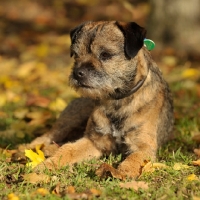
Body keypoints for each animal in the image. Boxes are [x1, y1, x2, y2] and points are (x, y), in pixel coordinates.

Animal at [31, 20, 173, 178]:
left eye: (105, 55)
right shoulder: (94, 141)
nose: (77, 73)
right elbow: (68, 150)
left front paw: (122, 172)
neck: (117, 101)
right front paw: (48, 164)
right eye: (76, 54)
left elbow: (134, 159)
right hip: (70, 119)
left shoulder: (143, 147)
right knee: (48, 137)